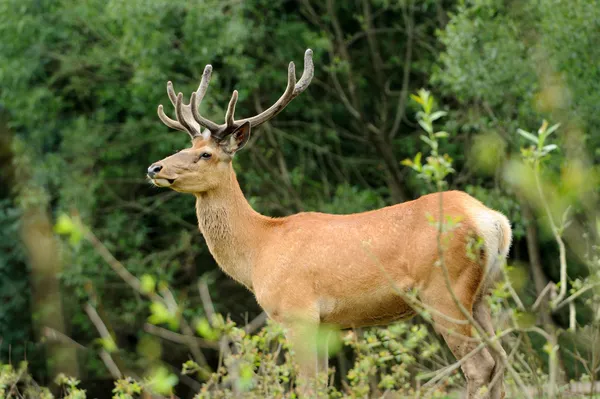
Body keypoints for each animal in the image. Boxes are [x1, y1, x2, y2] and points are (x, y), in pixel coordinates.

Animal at [149, 50, 510, 399]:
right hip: (482, 293)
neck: (259, 250)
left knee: (480, 365)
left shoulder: (298, 312)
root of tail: (493, 221)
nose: (155, 167)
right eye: (186, 146)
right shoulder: (325, 324)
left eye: (205, 154)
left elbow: (308, 387)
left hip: (444, 290)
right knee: (501, 361)